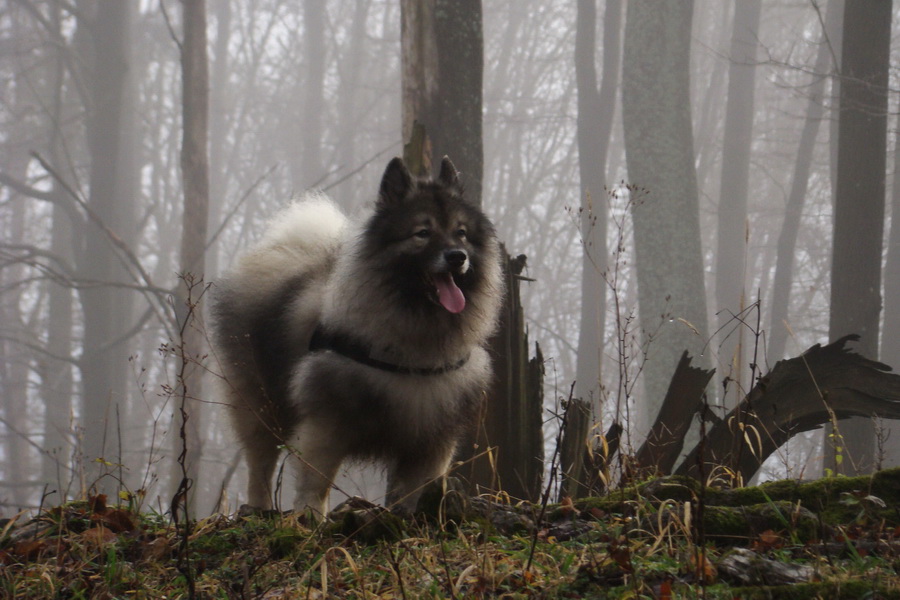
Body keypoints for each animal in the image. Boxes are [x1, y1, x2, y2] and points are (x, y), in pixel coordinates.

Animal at [213, 156, 506, 516]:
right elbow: (317, 481)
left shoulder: (433, 439)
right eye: (422, 233)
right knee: (260, 463)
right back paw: (258, 509)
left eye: (461, 234)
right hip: (259, 403)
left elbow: (416, 490)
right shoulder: (326, 424)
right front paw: (309, 517)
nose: (456, 256)